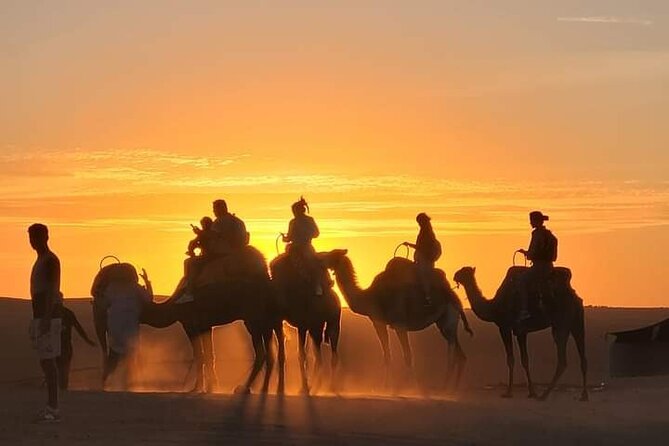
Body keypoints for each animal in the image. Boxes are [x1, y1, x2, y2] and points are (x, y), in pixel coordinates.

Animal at [92, 247, 284, 398]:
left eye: (102, 291)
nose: (95, 295)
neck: (174, 305)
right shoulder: (205, 325)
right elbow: (208, 355)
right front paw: (210, 387)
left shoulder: (190, 324)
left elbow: (199, 355)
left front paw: (197, 388)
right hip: (264, 320)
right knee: (269, 352)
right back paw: (260, 389)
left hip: (254, 318)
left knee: (262, 353)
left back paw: (246, 388)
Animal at [268, 251, 340, 394]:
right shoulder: (304, 326)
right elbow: (304, 354)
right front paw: (305, 387)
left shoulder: (303, 325)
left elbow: (302, 355)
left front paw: (305, 387)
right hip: (323, 326)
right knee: (325, 356)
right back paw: (326, 386)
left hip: (329, 324)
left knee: (324, 356)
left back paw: (323, 386)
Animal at [324, 249, 470, 392]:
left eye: (332, 254)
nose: (322, 258)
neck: (372, 296)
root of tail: (455, 298)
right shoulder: (378, 322)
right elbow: (387, 355)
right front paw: (386, 387)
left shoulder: (400, 324)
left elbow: (408, 355)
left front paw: (411, 388)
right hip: (443, 322)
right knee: (460, 355)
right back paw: (453, 389)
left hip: (449, 318)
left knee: (452, 353)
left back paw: (444, 388)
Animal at [452, 266, 588, 402]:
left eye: (463, 271)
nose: (454, 275)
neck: (494, 306)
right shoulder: (521, 331)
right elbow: (525, 360)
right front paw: (531, 392)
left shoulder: (504, 327)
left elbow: (511, 359)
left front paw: (508, 392)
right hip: (576, 322)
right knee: (583, 356)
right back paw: (583, 395)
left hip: (561, 324)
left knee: (562, 359)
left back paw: (544, 395)